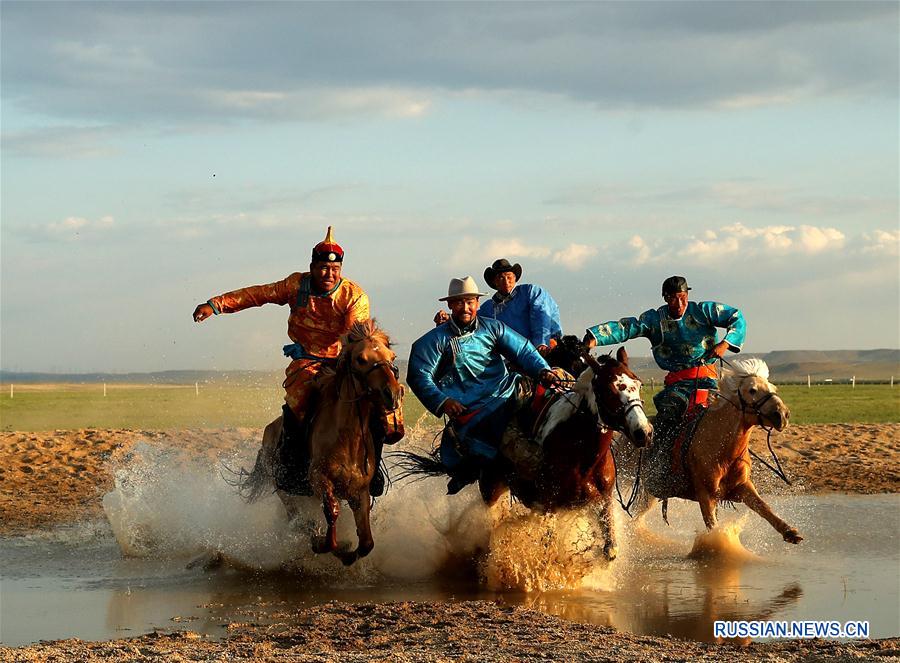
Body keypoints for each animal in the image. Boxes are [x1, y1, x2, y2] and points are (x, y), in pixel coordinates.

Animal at [243, 322, 404, 564]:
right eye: (361, 359)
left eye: (392, 357)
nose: (392, 394)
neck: (347, 439)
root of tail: (268, 433)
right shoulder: (320, 480)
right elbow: (331, 518)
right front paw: (334, 546)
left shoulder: (360, 493)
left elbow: (367, 542)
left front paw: (349, 555)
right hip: (285, 491)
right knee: (298, 521)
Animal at [632, 358, 800, 544]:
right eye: (752, 390)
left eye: (773, 389)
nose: (783, 415)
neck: (723, 450)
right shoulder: (706, 494)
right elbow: (712, 524)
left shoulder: (742, 486)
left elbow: (763, 507)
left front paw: (789, 531)